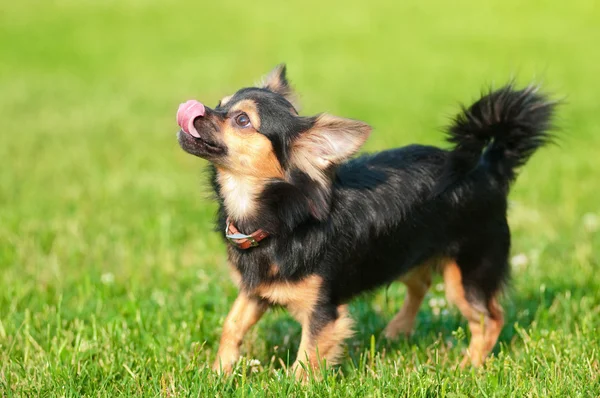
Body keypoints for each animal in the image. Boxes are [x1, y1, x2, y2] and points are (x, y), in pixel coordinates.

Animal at [176, 64, 556, 376]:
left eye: (242, 120)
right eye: (221, 103)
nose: (195, 110)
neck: (281, 214)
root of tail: (486, 167)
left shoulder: (324, 312)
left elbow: (306, 358)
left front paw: (294, 385)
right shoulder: (256, 290)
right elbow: (232, 325)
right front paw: (219, 373)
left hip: (467, 274)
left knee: (490, 319)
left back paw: (469, 366)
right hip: (404, 252)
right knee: (421, 284)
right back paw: (397, 331)